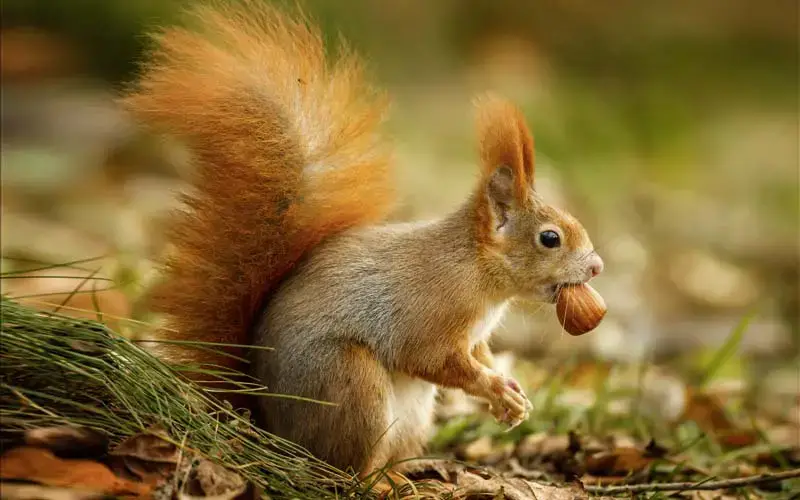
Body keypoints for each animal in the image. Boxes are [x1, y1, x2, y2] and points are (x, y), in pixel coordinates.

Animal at [122, 0, 604, 486]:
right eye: (550, 238)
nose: (596, 266)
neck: (475, 271)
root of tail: (271, 428)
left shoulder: (474, 335)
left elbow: (479, 353)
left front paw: (512, 396)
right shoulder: (428, 313)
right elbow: (434, 359)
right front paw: (495, 388)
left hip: (410, 415)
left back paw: (408, 474)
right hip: (350, 384)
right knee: (346, 469)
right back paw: (382, 484)